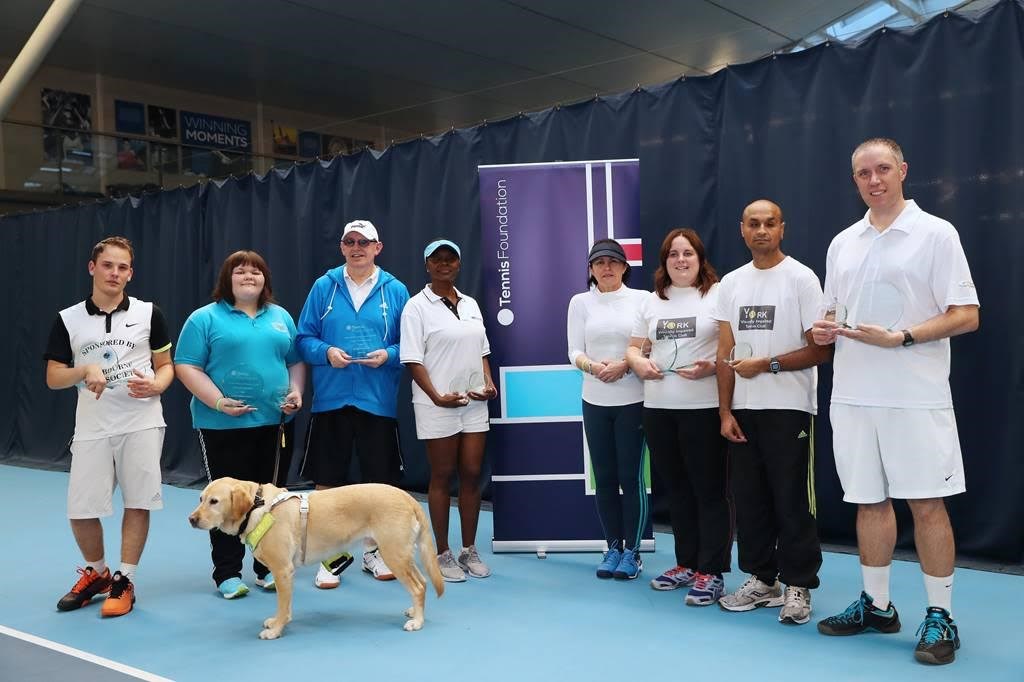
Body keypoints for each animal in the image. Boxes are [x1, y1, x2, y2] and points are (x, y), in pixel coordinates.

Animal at [189, 477, 444, 638]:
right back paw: (414, 611)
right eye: (200, 498)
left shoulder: (282, 571)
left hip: (394, 554)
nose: (191, 519)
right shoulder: (284, 575)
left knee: (418, 587)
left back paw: (417, 622)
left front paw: (276, 630)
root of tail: (408, 497)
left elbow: (283, 606)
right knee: (422, 583)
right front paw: (276, 622)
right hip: (402, 555)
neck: (257, 507)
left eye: (214, 501)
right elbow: (285, 606)